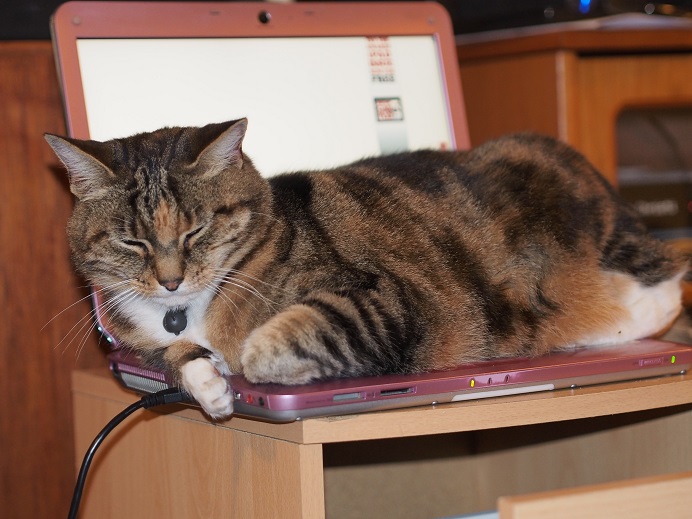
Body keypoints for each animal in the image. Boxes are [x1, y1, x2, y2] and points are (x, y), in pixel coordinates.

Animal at [44, 120, 688, 420]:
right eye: (131, 240)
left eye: (196, 230)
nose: (172, 280)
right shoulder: (135, 336)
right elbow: (170, 356)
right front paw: (209, 384)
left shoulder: (381, 300)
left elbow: (266, 345)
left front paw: (238, 363)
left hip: (594, 244)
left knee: (667, 284)